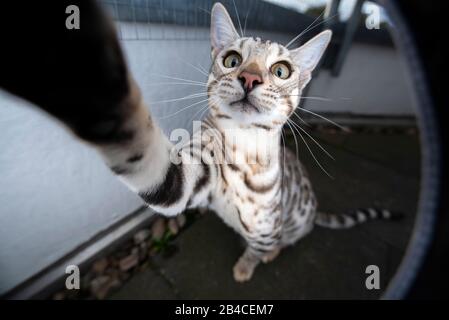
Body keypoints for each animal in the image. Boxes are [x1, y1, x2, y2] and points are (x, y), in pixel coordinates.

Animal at [0, 2, 400, 282]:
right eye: (232, 59)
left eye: (281, 70)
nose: (250, 78)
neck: (242, 147)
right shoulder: (187, 178)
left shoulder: (266, 223)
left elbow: (257, 248)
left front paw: (247, 265)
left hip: (297, 221)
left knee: (287, 238)